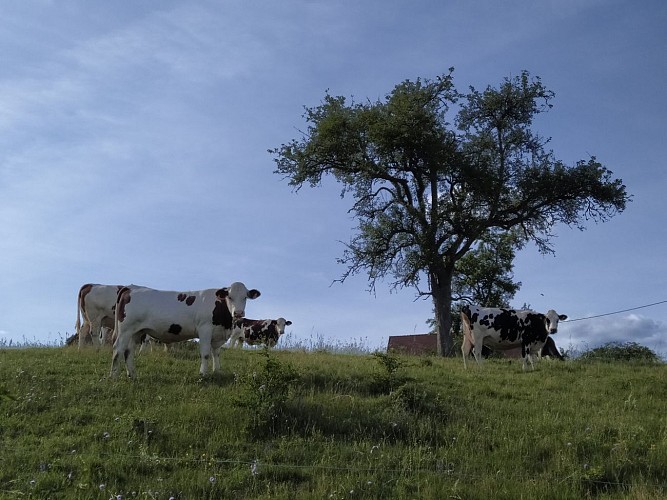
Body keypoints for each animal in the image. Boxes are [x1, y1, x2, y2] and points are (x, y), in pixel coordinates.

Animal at [110, 282, 261, 378]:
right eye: (230, 296)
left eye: (245, 297)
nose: (238, 313)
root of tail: (131, 287)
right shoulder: (205, 329)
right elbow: (205, 354)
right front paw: (203, 374)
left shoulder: (217, 335)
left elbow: (216, 354)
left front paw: (217, 372)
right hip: (125, 330)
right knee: (118, 349)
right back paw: (114, 376)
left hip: (136, 332)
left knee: (129, 351)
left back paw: (132, 375)